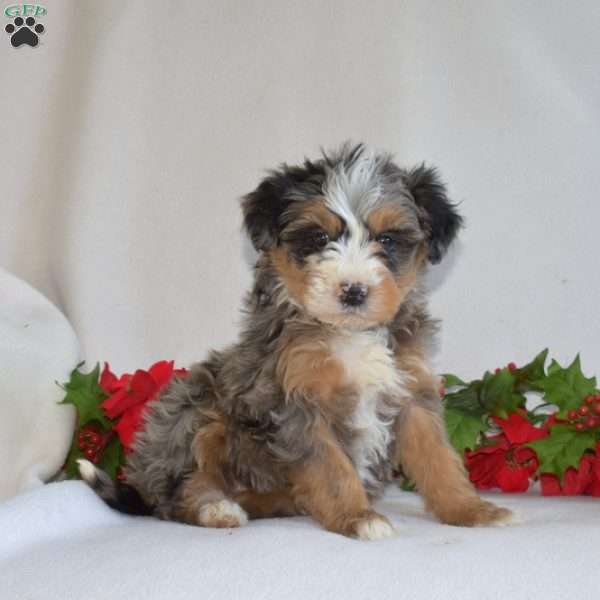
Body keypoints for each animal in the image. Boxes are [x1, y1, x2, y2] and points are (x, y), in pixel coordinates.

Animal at [78, 144, 510, 540]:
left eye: (387, 240)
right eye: (318, 238)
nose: (354, 291)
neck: (349, 333)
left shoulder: (411, 392)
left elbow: (439, 458)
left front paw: (471, 510)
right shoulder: (294, 403)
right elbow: (332, 468)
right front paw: (358, 518)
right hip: (192, 406)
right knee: (178, 489)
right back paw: (216, 508)